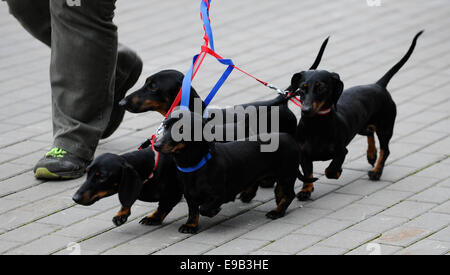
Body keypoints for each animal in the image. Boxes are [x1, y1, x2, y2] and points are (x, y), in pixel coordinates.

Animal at [153, 111, 300, 234]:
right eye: (164, 126)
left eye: (181, 129)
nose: (156, 145)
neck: (196, 165)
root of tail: (289, 137)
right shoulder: (190, 195)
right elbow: (193, 211)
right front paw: (190, 226)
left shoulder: (220, 194)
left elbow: (204, 208)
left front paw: (213, 211)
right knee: (279, 192)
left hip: (286, 176)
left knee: (289, 195)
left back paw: (277, 212)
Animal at [290, 31, 424, 201]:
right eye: (301, 89)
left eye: (321, 88)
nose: (306, 110)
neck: (316, 125)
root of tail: (378, 85)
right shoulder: (304, 153)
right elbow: (308, 173)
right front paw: (306, 190)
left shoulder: (342, 151)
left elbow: (330, 170)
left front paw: (338, 171)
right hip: (360, 126)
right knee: (370, 132)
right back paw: (371, 154)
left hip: (385, 127)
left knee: (385, 150)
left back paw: (376, 171)